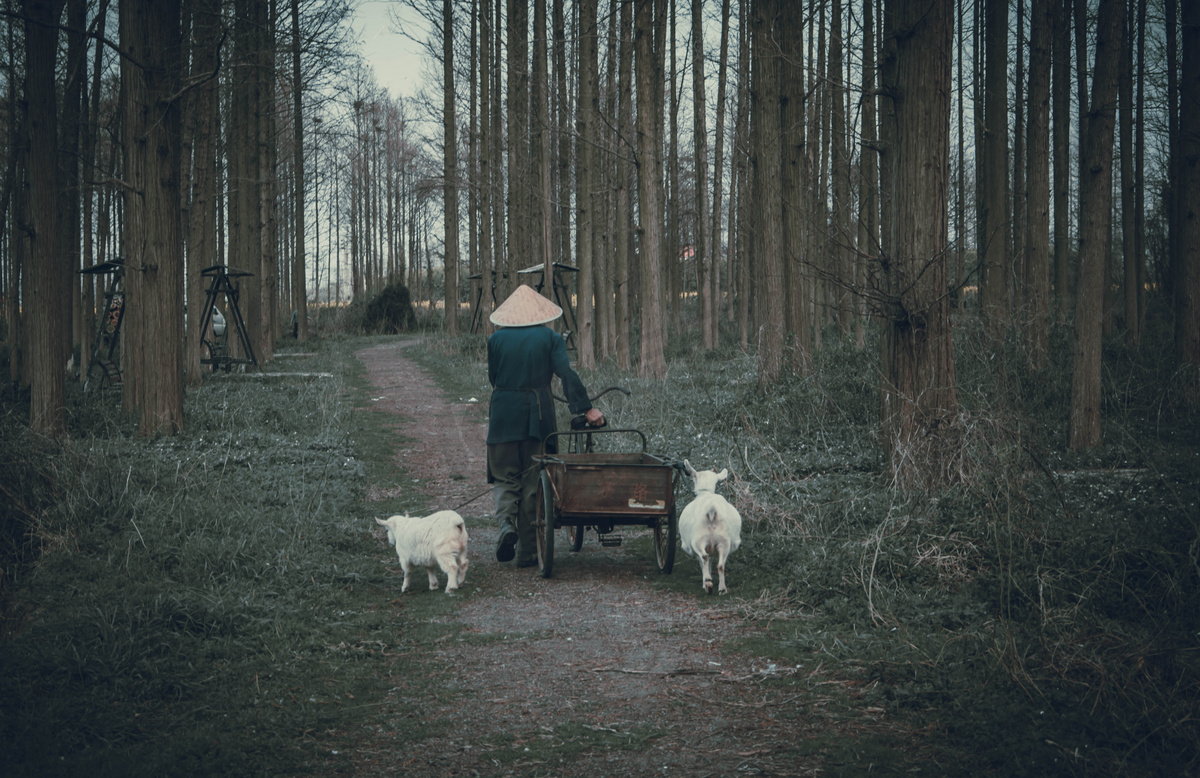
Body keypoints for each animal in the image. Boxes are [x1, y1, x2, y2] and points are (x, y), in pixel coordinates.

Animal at [676, 461, 739, 595]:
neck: (705, 493)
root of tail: (711, 511)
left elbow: (704, 561)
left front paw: (705, 581)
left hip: (698, 539)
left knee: (704, 557)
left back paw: (708, 583)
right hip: (724, 541)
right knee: (720, 565)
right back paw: (722, 589)